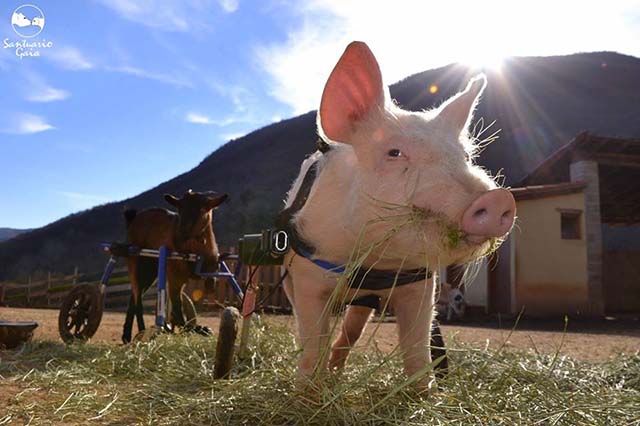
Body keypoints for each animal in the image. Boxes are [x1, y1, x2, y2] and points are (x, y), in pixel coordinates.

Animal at [281, 41, 515, 389]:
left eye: (465, 156)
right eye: (394, 153)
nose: (499, 197)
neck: (373, 260)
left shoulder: (421, 285)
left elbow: (418, 348)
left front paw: (426, 393)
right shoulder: (306, 275)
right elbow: (311, 343)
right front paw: (308, 392)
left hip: (363, 305)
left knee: (349, 333)